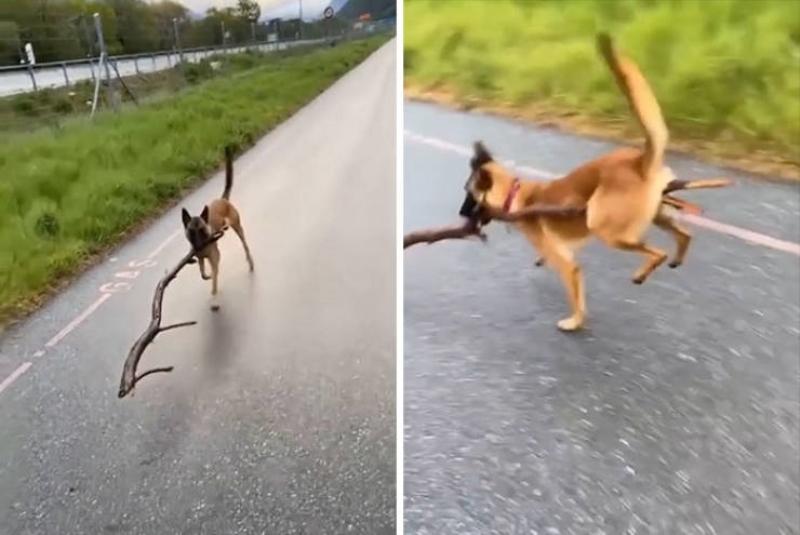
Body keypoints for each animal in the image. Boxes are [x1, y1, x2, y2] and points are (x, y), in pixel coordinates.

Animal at [182, 146, 255, 298]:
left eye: (202, 230)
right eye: (191, 231)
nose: (198, 246)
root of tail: (222, 199)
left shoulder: (214, 257)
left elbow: (214, 277)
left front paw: (214, 292)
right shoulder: (201, 258)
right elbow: (203, 273)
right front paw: (206, 275)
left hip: (238, 228)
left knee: (245, 245)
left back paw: (250, 261)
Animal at [460, 33, 728, 330]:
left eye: (468, 194)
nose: (461, 215)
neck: (515, 194)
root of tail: (639, 160)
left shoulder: (568, 265)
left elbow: (575, 294)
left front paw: (575, 322)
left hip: (605, 228)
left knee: (658, 252)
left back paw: (642, 273)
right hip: (657, 215)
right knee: (684, 235)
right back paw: (676, 258)